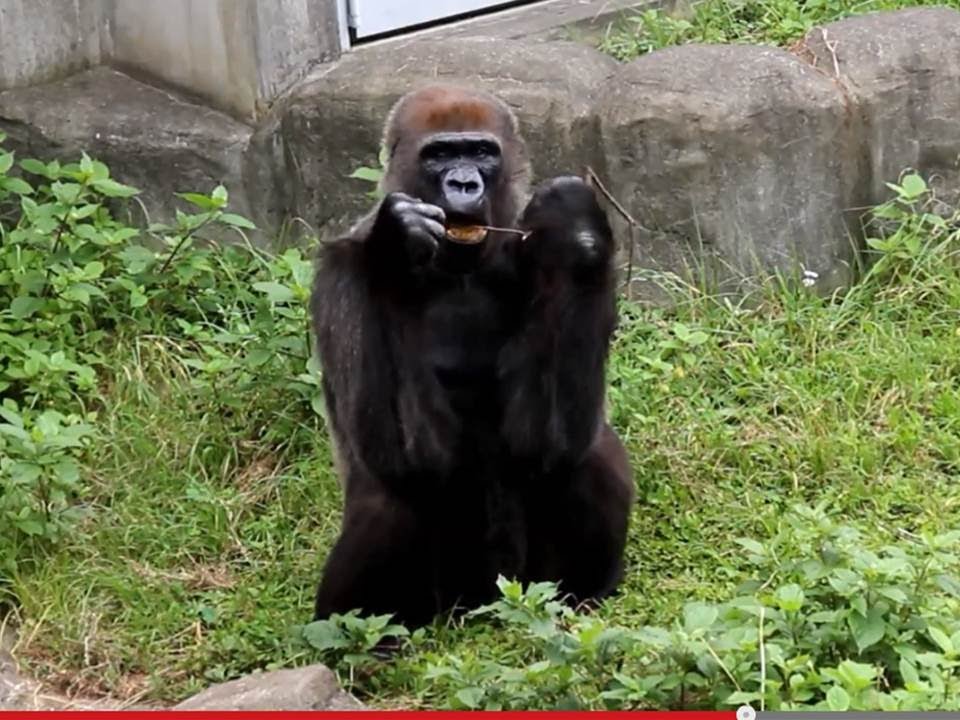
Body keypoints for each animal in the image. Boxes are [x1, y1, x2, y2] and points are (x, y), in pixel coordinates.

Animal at [309, 84, 633, 628]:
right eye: (438, 156)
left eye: (483, 152)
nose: (464, 183)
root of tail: (482, 606)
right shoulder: (341, 270)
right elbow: (403, 455)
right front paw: (394, 247)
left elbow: (551, 442)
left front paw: (578, 232)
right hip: (446, 603)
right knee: (392, 495)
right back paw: (372, 634)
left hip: (525, 585)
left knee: (589, 454)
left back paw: (581, 596)